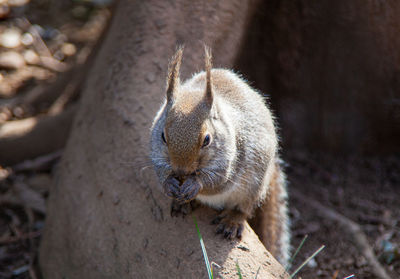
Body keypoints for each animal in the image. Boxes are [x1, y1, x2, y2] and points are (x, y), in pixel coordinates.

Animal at [152, 47, 290, 266]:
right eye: (163, 136)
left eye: (207, 139)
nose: (181, 171)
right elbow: (160, 170)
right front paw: (169, 184)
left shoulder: (232, 159)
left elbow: (218, 182)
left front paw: (196, 184)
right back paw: (182, 203)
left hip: (254, 186)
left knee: (244, 208)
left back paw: (232, 221)